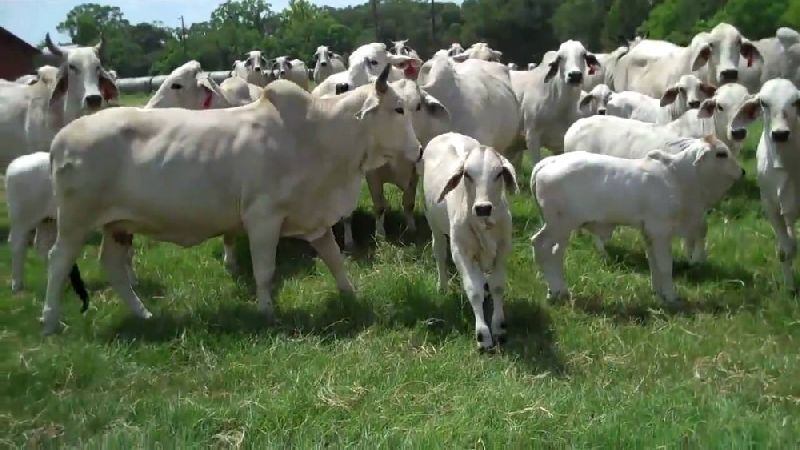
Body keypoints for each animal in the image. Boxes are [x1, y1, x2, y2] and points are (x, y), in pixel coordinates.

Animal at [40, 65, 422, 335]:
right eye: (398, 109)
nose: (418, 150)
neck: (319, 134)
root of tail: (59, 139)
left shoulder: (313, 218)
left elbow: (335, 260)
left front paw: (351, 296)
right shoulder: (263, 218)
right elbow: (265, 271)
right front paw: (266, 312)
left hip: (117, 225)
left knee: (112, 266)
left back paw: (143, 314)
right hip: (75, 220)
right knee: (57, 261)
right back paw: (50, 321)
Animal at [420, 133, 517, 350]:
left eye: (498, 173)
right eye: (467, 174)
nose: (483, 208)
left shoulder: (503, 249)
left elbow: (498, 286)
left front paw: (499, 327)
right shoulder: (461, 252)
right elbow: (474, 291)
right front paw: (483, 335)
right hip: (433, 224)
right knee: (439, 253)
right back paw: (443, 286)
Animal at [531, 136, 743, 305]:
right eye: (721, 154)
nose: (742, 172)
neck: (679, 177)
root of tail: (548, 162)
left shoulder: (648, 232)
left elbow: (654, 263)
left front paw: (658, 292)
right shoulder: (660, 231)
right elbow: (665, 266)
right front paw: (671, 297)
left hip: (563, 228)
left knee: (555, 254)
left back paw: (559, 291)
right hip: (559, 224)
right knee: (540, 245)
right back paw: (554, 292)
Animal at [729, 79, 800, 290]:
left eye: (796, 101)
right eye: (763, 103)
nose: (780, 134)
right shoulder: (770, 206)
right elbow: (785, 250)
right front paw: (790, 287)